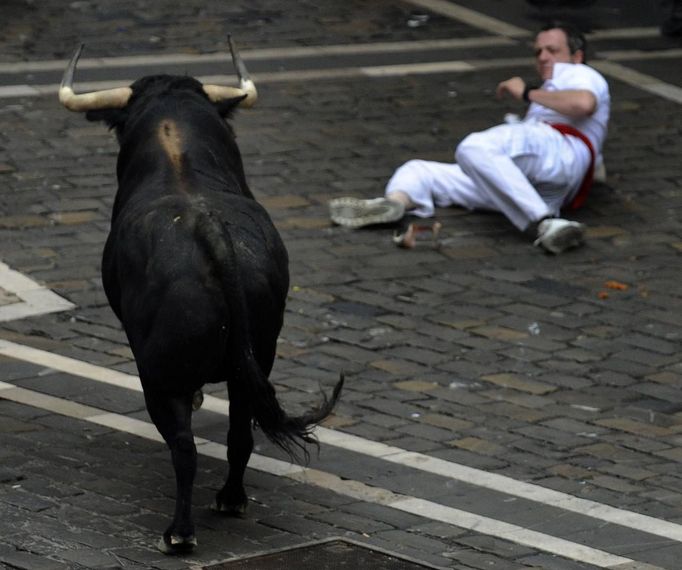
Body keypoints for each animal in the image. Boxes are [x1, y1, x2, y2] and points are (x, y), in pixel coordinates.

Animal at [59, 38, 342, 552]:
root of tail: (207, 228)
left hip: (158, 376)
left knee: (184, 448)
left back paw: (179, 533)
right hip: (257, 359)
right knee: (240, 435)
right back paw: (231, 499)